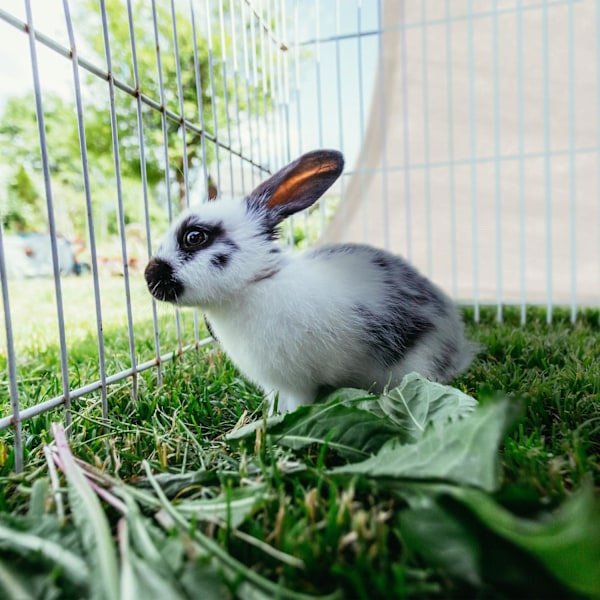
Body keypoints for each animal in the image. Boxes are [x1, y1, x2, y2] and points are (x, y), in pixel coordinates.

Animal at [145, 149, 478, 412]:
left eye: (194, 237)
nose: (149, 277)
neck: (255, 282)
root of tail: (458, 344)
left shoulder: (296, 382)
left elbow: (296, 402)